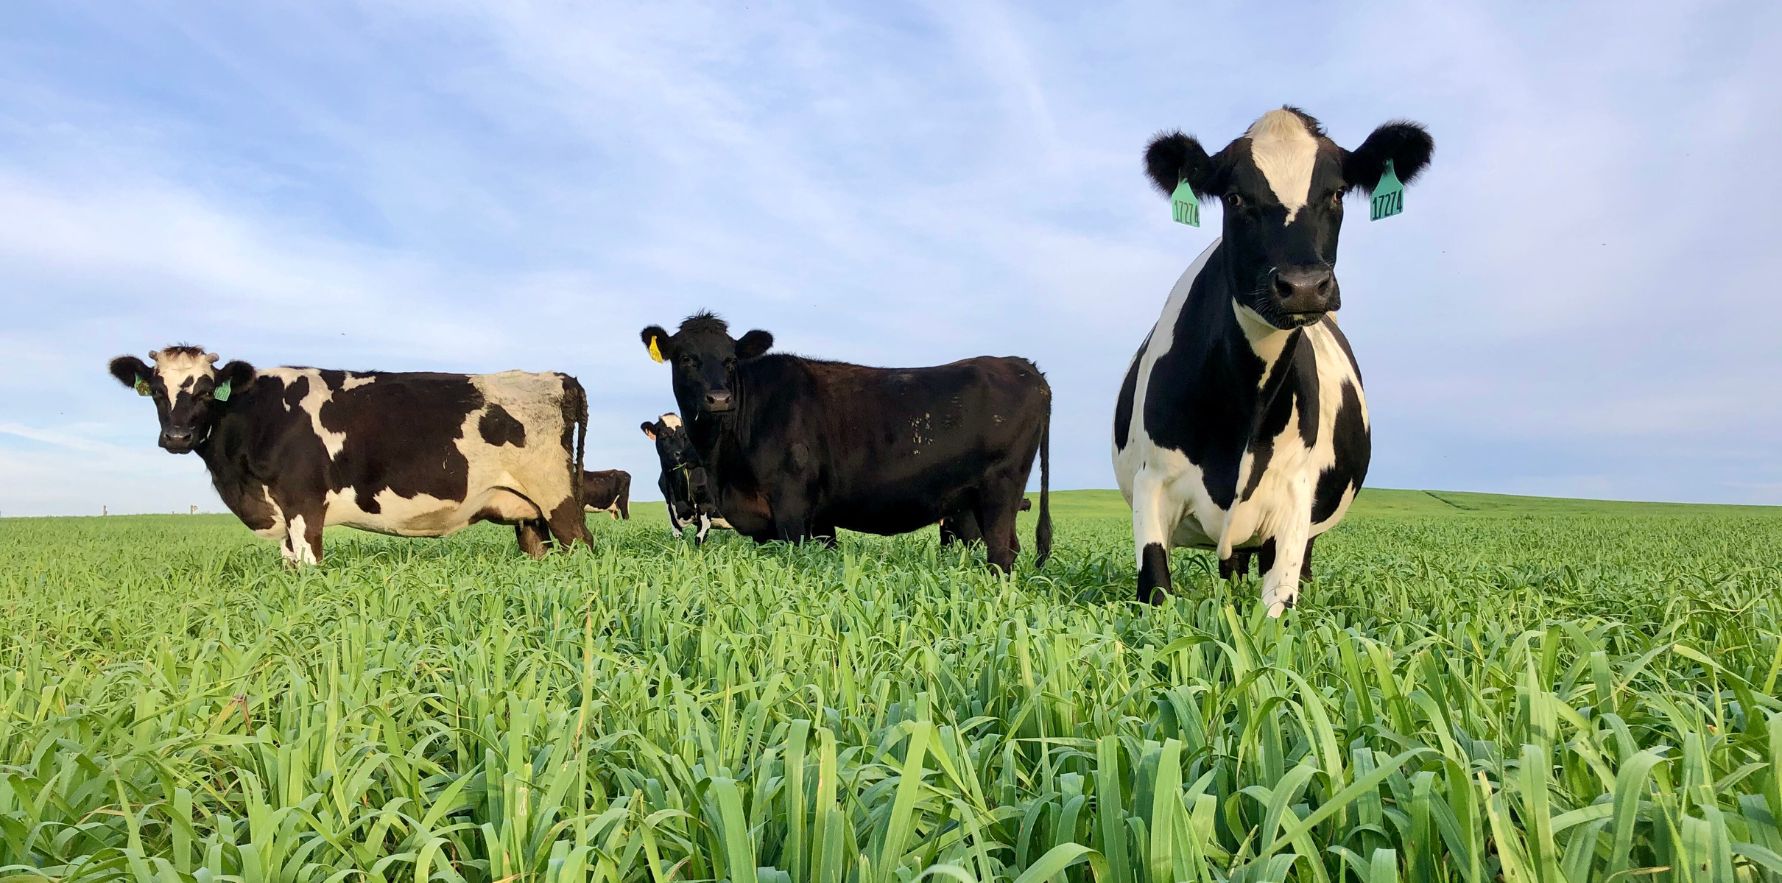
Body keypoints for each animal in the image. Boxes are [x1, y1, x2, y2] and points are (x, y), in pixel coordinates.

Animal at [107, 345, 591, 564]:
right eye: (157, 390)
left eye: (207, 391)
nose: (176, 436)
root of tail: (555, 376)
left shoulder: (304, 503)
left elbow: (308, 564)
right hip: (528, 514)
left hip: (558, 497)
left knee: (582, 545)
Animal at [641, 413, 731, 543]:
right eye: (663, 434)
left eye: (686, 436)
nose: (679, 454)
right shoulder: (671, 509)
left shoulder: (706, 506)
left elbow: (699, 540)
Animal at [1112, 106, 1433, 614]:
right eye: (1234, 197)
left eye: (1337, 193)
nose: (1303, 286)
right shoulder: (1152, 486)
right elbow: (1157, 593)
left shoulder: (1293, 502)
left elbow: (1275, 613)